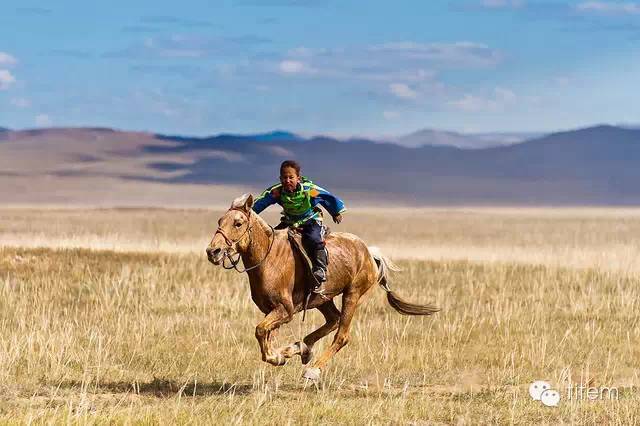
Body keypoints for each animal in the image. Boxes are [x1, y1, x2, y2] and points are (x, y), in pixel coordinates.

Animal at [206, 193, 440, 380]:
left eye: (238, 223)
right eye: (220, 220)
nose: (213, 251)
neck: (268, 257)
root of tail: (369, 252)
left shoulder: (285, 310)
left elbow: (260, 330)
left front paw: (277, 356)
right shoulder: (270, 310)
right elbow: (265, 334)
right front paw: (280, 355)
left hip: (352, 295)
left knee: (342, 335)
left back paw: (312, 370)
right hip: (322, 298)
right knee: (332, 320)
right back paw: (300, 349)